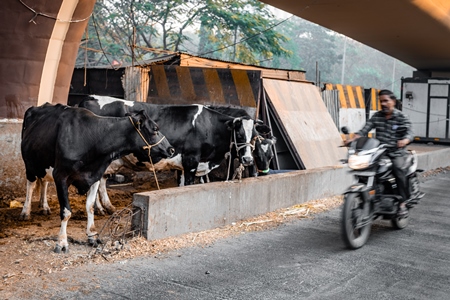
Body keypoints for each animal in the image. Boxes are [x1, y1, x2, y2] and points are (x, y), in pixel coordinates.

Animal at [22, 103, 175, 253]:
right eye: (155, 129)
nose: (171, 149)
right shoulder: (61, 176)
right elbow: (66, 212)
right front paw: (62, 242)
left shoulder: (95, 175)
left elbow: (90, 207)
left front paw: (92, 236)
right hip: (29, 164)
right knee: (31, 184)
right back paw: (25, 212)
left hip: (43, 163)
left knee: (44, 182)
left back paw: (44, 206)